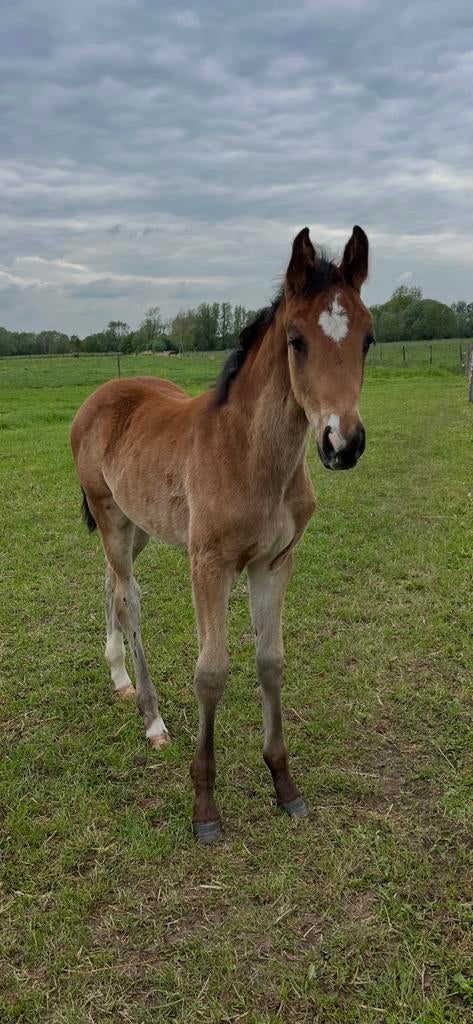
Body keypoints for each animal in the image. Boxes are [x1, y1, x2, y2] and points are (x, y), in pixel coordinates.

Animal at [70, 225, 374, 843]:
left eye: (369, 339)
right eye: (296, 340)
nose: (343, 443)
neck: (252, 455)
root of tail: (99, 397)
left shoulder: (274, 562)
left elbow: (270, 661)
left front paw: (284, 785)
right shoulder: (208, 564)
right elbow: (211, 673)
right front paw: (205, 808)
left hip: (137, 525)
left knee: (110, 585)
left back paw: (118, 678)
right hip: (110, 517)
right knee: (129, 599)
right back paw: (152, 718)